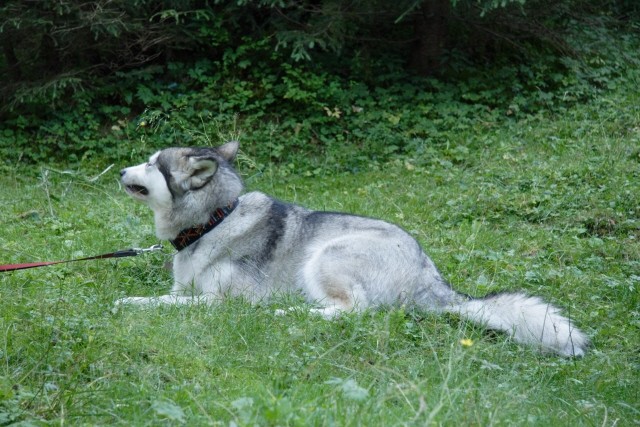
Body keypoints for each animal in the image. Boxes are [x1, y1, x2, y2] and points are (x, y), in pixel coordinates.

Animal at [120, 142, 592, 356]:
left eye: (151, 163)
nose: (121, 170)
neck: (214, 218)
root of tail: (430, 277)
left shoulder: (223, 302)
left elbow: (168, 305)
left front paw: (129, 305)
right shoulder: (186, 288)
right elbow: (163, 297)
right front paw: (134, 300)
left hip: (328, 254)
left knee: (355, 311)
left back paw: (287, 312)